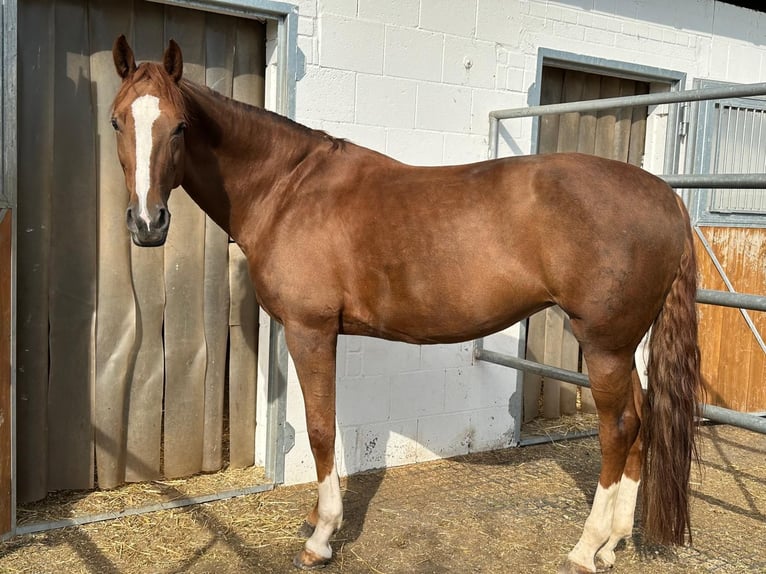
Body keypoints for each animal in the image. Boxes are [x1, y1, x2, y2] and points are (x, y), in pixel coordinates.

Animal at [111, 38, 704, 572]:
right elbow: (327, 426)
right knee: (642, 420)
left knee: (619, 428)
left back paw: (586, 548)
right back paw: (613, 543)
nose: (147, 224)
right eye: (118, 122)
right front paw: (315, 519)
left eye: (180, 126)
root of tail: (667, 197)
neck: (287, 189)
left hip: (603, 345)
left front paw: (321, 538)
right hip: (622, 347)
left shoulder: (310, 330)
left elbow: (321, 428)